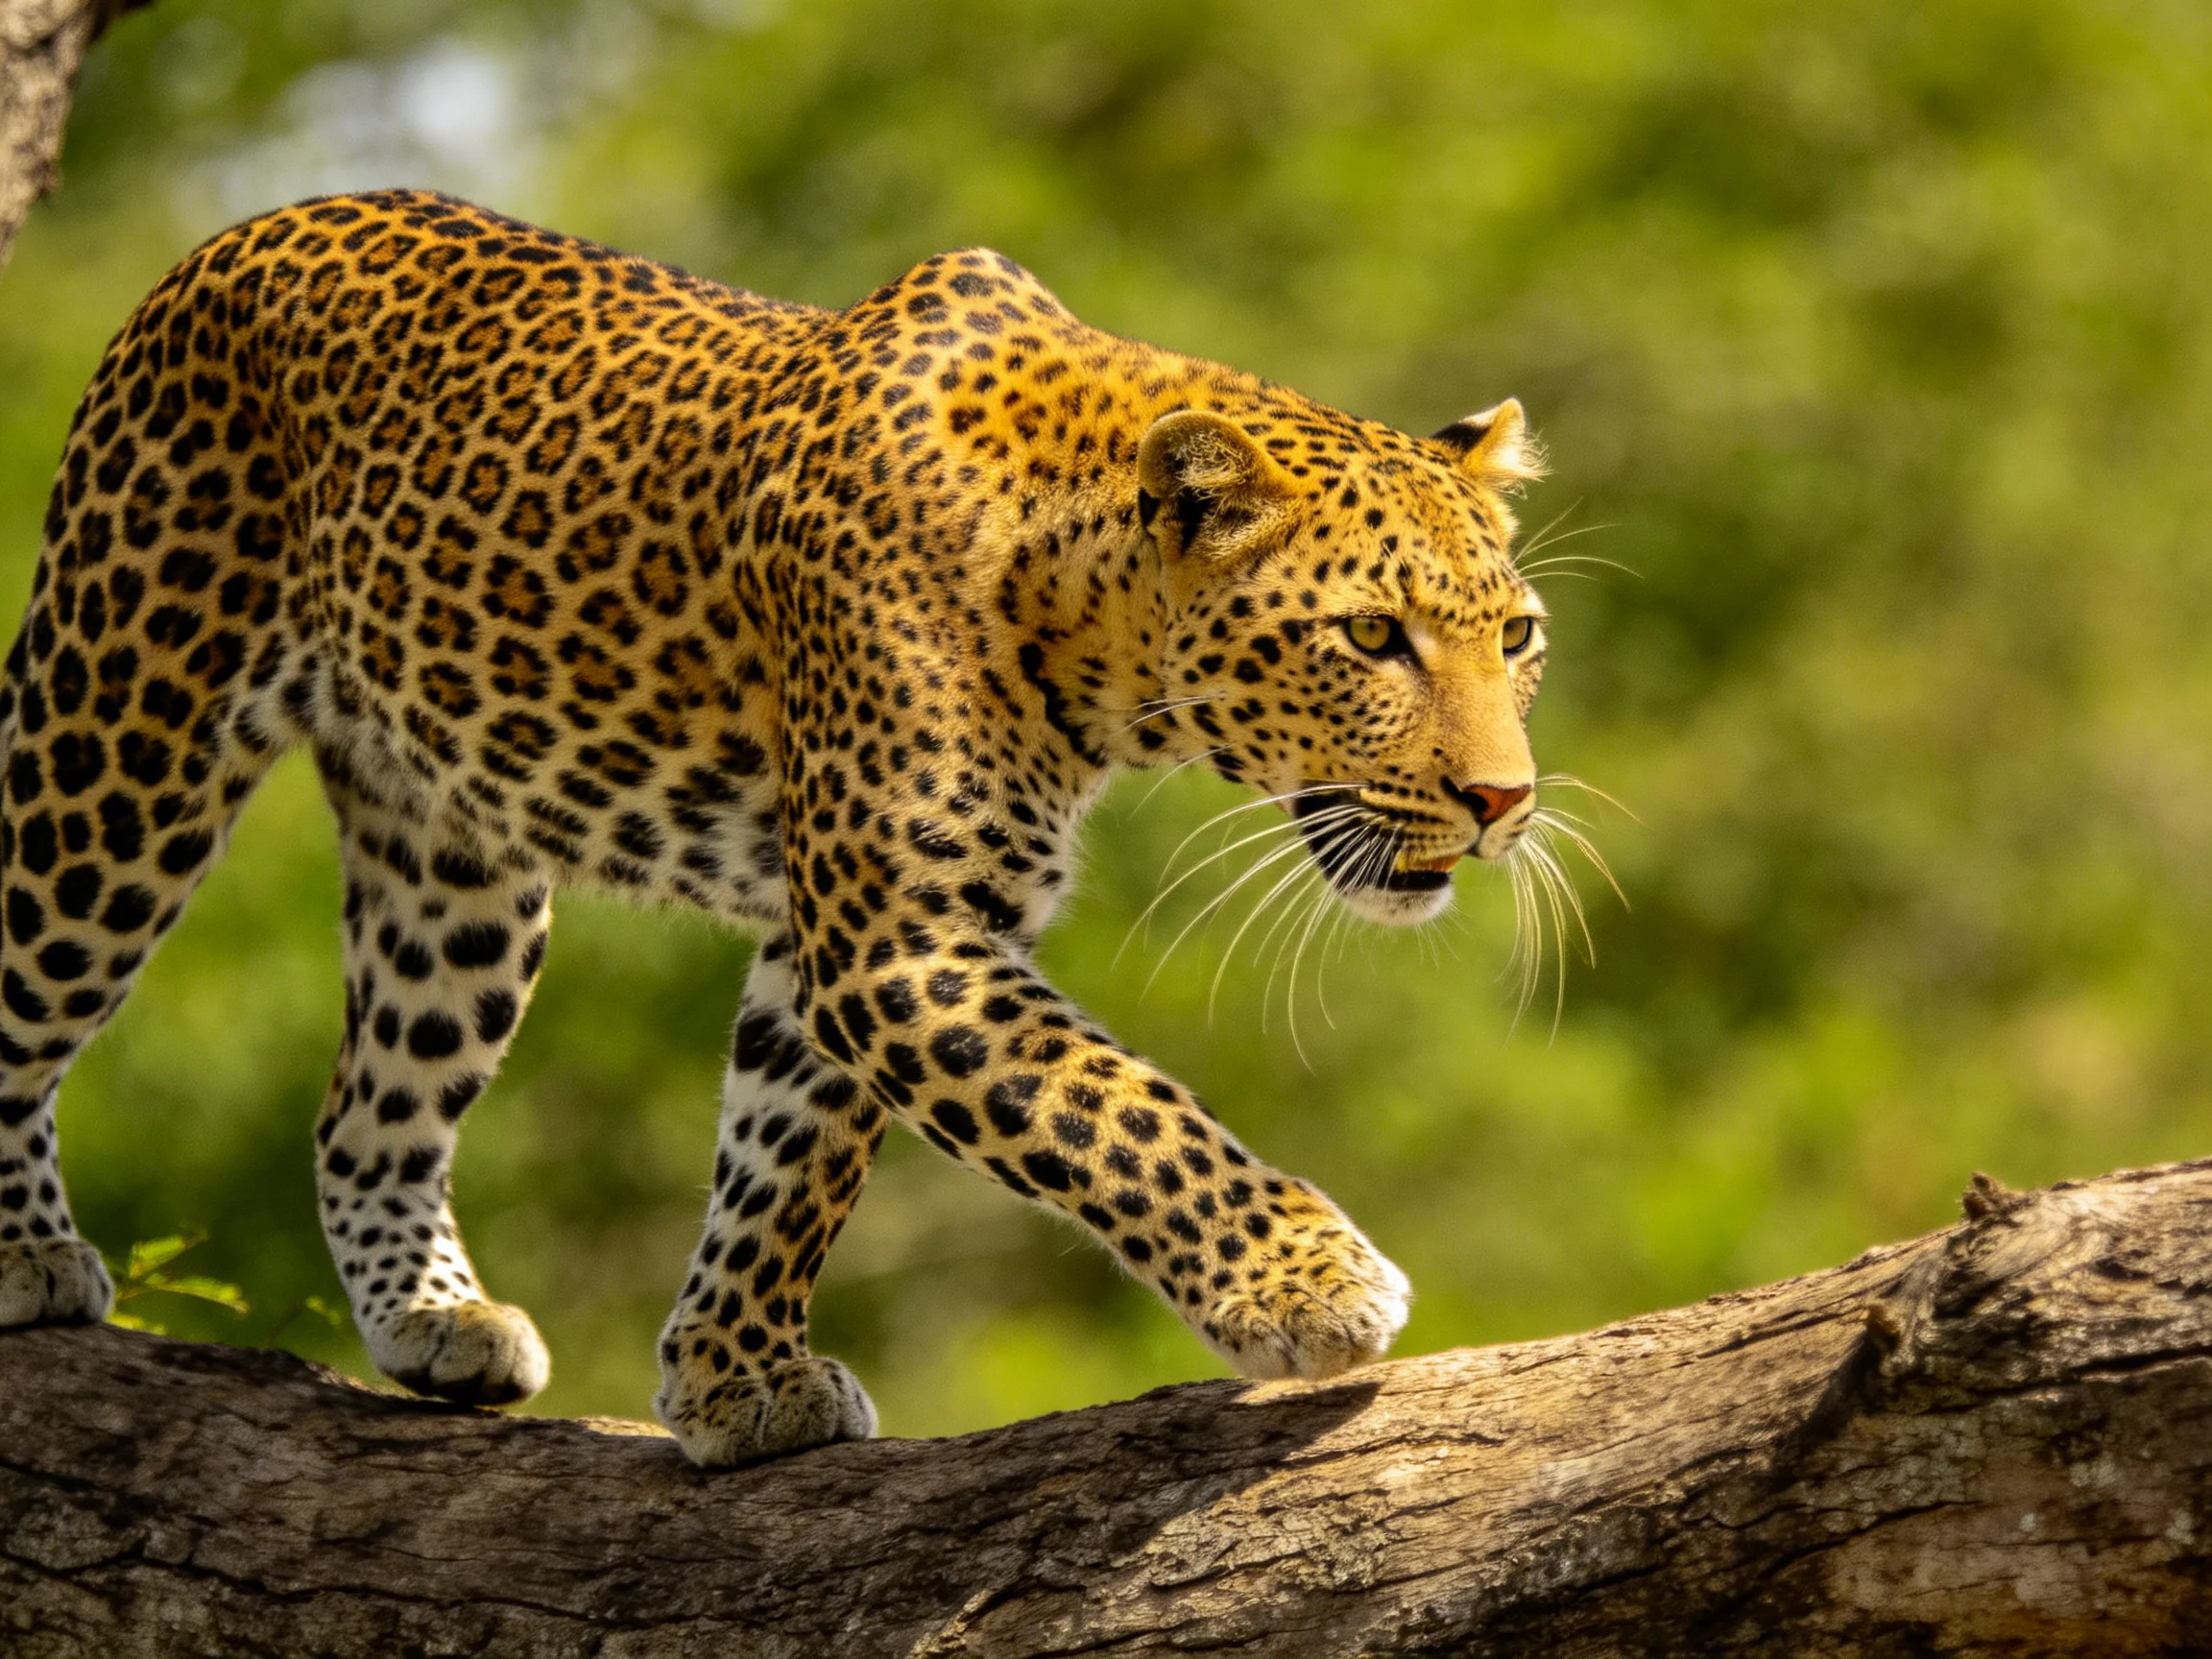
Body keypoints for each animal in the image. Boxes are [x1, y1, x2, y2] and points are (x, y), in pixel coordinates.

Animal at [0, 189, 1549, 1465]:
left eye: (1518, 637)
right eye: (1371, 636)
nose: (1506, 802)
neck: (1087, 617)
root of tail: (245, 228)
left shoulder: (842, 946)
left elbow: (787, 1161)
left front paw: (731, 1381)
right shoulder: (899, 937)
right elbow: (1112, 1109)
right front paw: (1307, 1279)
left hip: (454, 864)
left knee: (368, 1106)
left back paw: (437, 1323)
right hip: (121, 740)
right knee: (31, 980)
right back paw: (26, 1257)